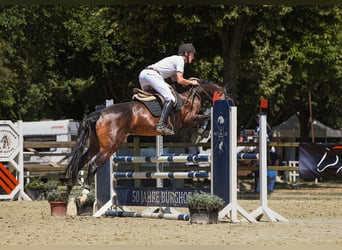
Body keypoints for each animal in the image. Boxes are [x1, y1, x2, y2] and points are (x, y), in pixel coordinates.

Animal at [65, 79, 228, 203]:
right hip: (109, 147)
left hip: (95, 145)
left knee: (81, 161)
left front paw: (201, 133)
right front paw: (203, 133)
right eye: (227, 98)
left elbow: (206, 117)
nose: (229, 103)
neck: (190, 95)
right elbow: (207, 116)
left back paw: (69, 188)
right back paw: (84, 194)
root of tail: (99, 113)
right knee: (92, 164)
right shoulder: (188, 120)